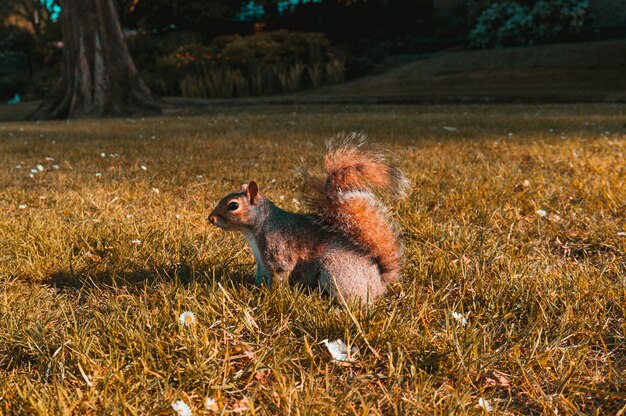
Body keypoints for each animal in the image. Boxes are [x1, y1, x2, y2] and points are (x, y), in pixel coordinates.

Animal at [207, 138, 408, 304]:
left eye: (233, 205)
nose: (211, 218)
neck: (256, 228)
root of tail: (380, 282)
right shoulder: (261, 261)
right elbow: (261, 275)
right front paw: (254, 289)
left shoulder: (278, 252)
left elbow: (279, 274)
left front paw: (271, 296)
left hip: (338, 273)